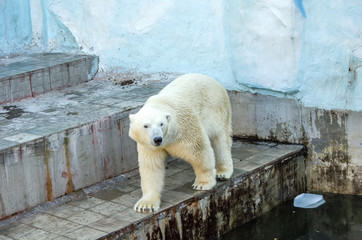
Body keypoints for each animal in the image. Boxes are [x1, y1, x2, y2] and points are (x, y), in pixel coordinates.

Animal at [129, 73, 233, 212]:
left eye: (161, 124)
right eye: (146, 125)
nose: (157, 139)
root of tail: (214, 80)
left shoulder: (185, 129)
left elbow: (199, 151)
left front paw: (202, 184)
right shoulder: (149, 146)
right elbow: (151, 167)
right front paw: (146, 204)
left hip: (215, 108)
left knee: (220, 139)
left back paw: (223, 172)